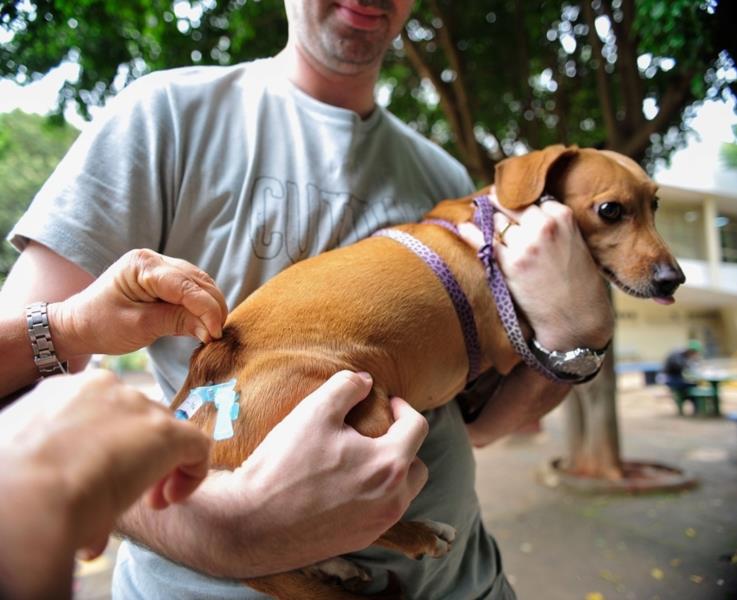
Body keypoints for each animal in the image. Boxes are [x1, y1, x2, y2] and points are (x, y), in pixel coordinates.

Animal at [171, 143, 684, 596]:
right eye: (611, 210)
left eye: (656, 204)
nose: (673, 279)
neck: (490, 225)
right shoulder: (509, 344)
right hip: (366, 412)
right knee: (343, 523)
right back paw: (417, 536)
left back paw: (337, 567)